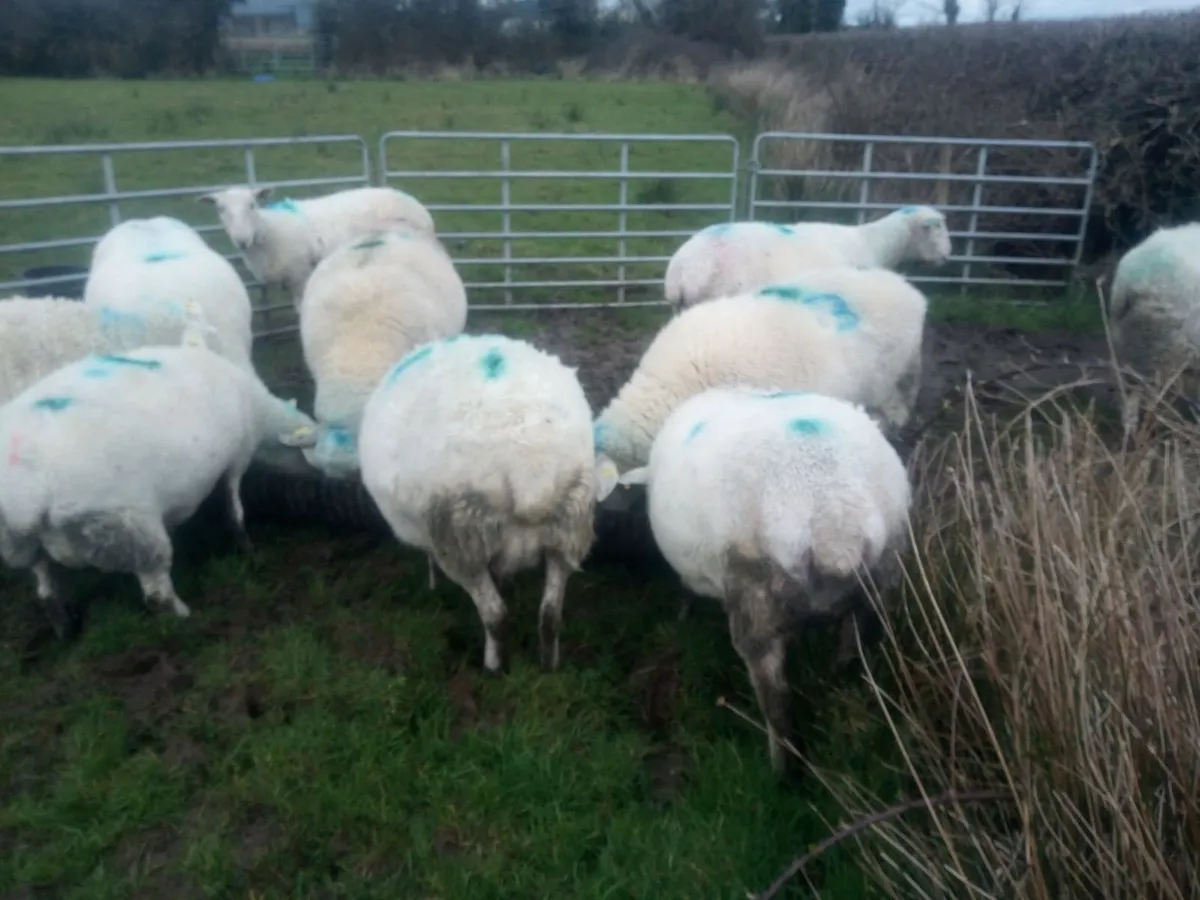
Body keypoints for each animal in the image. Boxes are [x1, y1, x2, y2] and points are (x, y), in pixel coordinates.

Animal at [0, 338, 317, 639]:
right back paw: (184, 618)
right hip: (128, 529)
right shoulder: (239, 455)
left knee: (44, 587)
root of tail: (25, 495)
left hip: (19, 544)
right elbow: (233, 505)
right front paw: (246, 546)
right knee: (156, 594)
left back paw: (62, 627)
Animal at [197, 184, 437, 309]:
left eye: (252, 205)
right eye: (220, 209)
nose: (242, 240)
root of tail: (419, 206)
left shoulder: (299, 275)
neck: (270, 230)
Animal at [356, 333, 622, 674]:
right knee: (550, 614)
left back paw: (494, 666)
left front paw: (432, 582)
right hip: (568, 529)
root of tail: (530, 466)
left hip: (460, 537)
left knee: (496, 615)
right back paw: (548, 664)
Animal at [617, 386, 912, 774]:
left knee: (776, 699)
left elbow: (687, 589)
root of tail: (834, 516)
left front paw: (683, 610)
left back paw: (783, 769)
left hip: (754, 594)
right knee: (853, 647)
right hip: (882, 576)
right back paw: (840, 686)